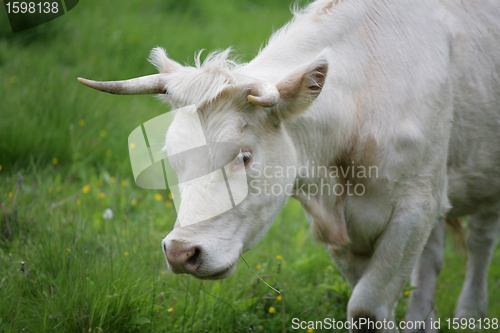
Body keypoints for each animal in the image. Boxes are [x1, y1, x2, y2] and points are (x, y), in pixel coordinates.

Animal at [79, 1, 500, 330]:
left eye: (244, 156)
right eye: (172, 156)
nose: (181, 252)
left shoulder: (415, 209)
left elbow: (367, 308)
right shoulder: (341, 230)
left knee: (480, 242)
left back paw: (470, 313)